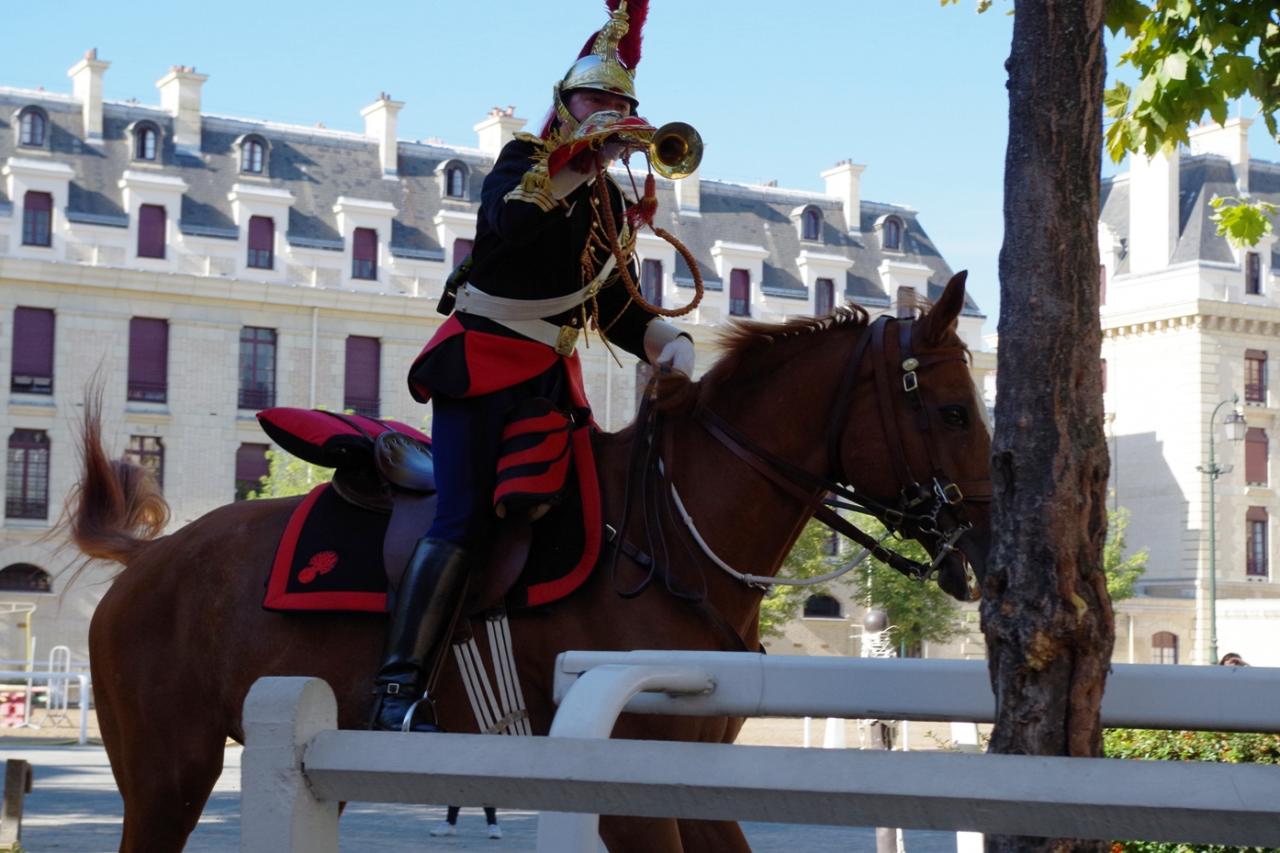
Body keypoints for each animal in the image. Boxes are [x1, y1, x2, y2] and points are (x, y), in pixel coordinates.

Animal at [67, 270, 988, 845]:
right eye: (950, 409)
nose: (983, 539)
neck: (668, 535)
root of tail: (150, 557)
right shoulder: (631, 801)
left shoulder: (696, 784)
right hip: (168, 778)